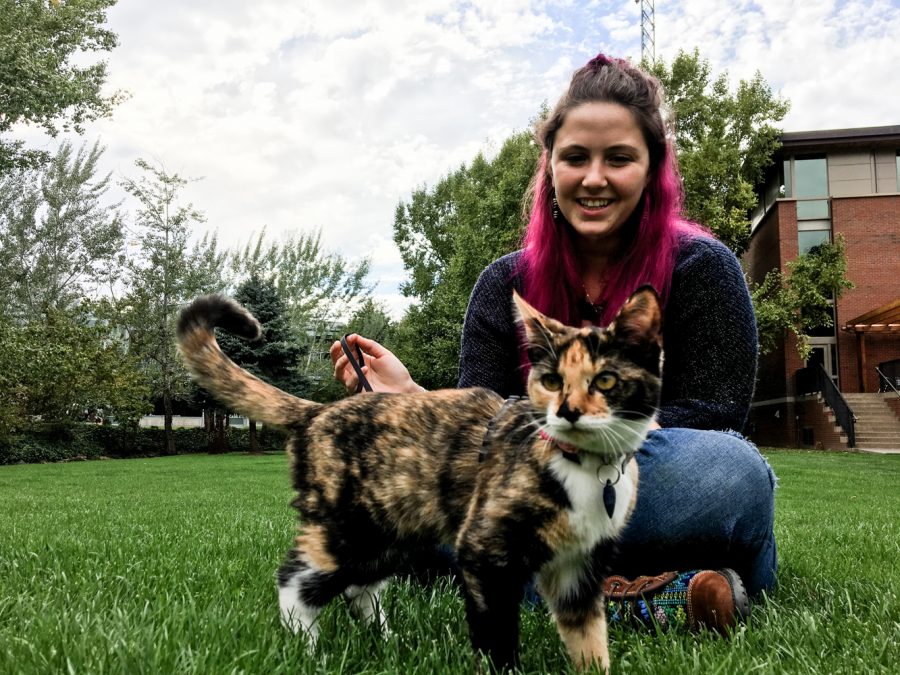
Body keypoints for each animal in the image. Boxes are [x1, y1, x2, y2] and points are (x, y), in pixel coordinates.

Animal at [178, 288, 660, 672]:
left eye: (606, 380)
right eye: (551, 380)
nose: (567, 411)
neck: (587, 470)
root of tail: (318, 410)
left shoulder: (582, 567)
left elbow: (589, 640)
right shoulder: (485, 552)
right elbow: (497, 634)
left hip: (391, 530)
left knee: (360, 587)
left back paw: (386, 642)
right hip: (349, 529)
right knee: (296, 580)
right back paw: (307, 650)